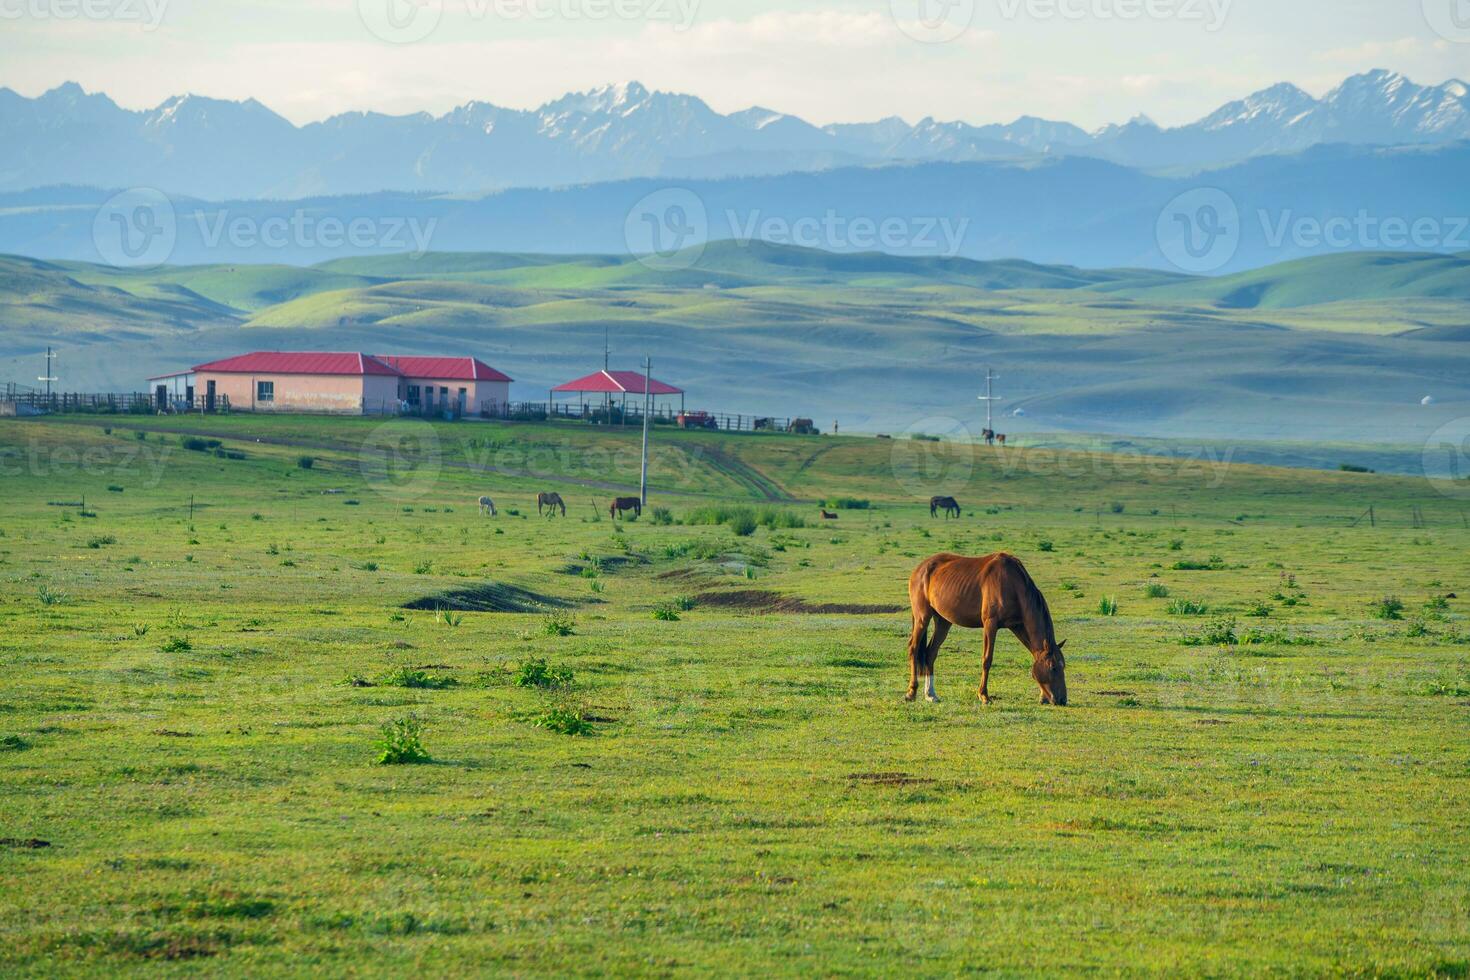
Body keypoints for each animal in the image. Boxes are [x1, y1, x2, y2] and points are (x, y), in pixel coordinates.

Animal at [899, 552, 1064, 705]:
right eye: (1053, 667)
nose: (1062, 700)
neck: (1013, 584)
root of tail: (920, 569)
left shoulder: (1016, 626)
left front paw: (1042, 696)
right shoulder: (990, 624)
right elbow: (987, 660)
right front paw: (983, 695)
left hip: (943, 621)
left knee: (930, 653)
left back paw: (930, 694)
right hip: (922, 618)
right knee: (913, 648)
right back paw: (911, 692)